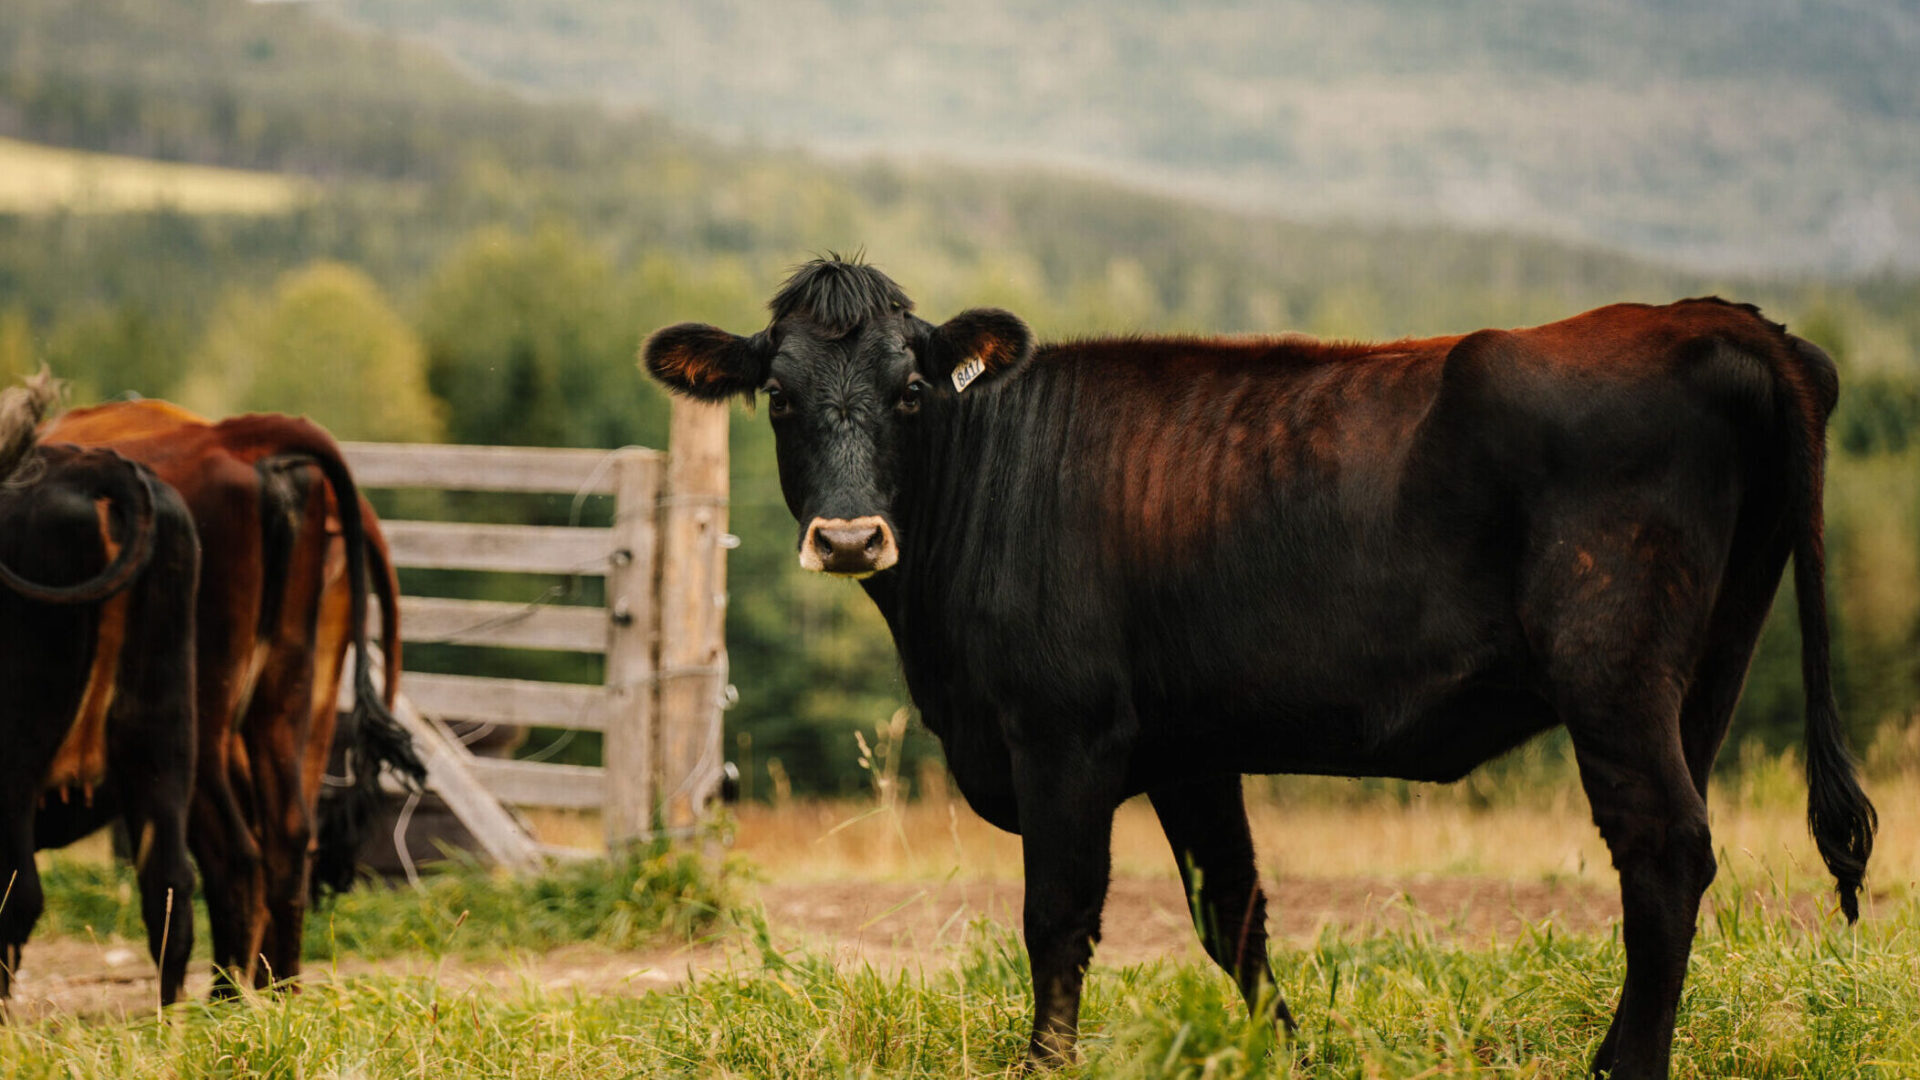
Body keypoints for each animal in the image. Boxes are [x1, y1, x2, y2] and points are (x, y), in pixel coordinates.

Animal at [44, 399, 424, 991]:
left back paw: (227, 996)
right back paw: (279, 989)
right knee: (288, 836)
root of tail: (237, 435)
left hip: (198, 722)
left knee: (232, 857)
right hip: (291, 696)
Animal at [641, 255, 1873, 1068]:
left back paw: (1621, 1067)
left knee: (1661, 852)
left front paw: (1046, 1063)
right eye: (779, 397)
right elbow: (1230, 912)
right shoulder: (1191, 749)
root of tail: (1715, 317)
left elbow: (1058, 915)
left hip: (1611, 670)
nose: (851, 538)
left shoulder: (1062, 737)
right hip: (1703, 670)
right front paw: (1286, 1053)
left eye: (908, 391)